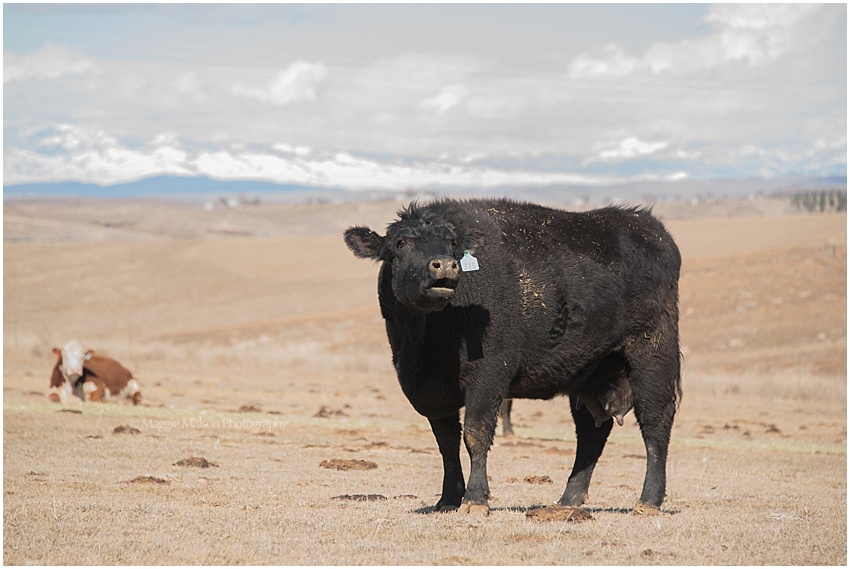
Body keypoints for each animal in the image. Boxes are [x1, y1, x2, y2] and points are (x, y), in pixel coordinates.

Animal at [344, 198, 681, 516]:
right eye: (401, 243)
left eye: (451, 243)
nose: (445, 265)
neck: (426, 341)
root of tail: (647, 226)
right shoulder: (433, 395)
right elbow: (446, 443)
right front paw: (448, 499)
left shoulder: (488, 376)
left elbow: (475, 434)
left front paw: (475, 499)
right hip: (590, 376)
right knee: (590, 434)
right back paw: (568, 500)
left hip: (653, 357)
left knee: (655, 425)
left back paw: (648, 501)